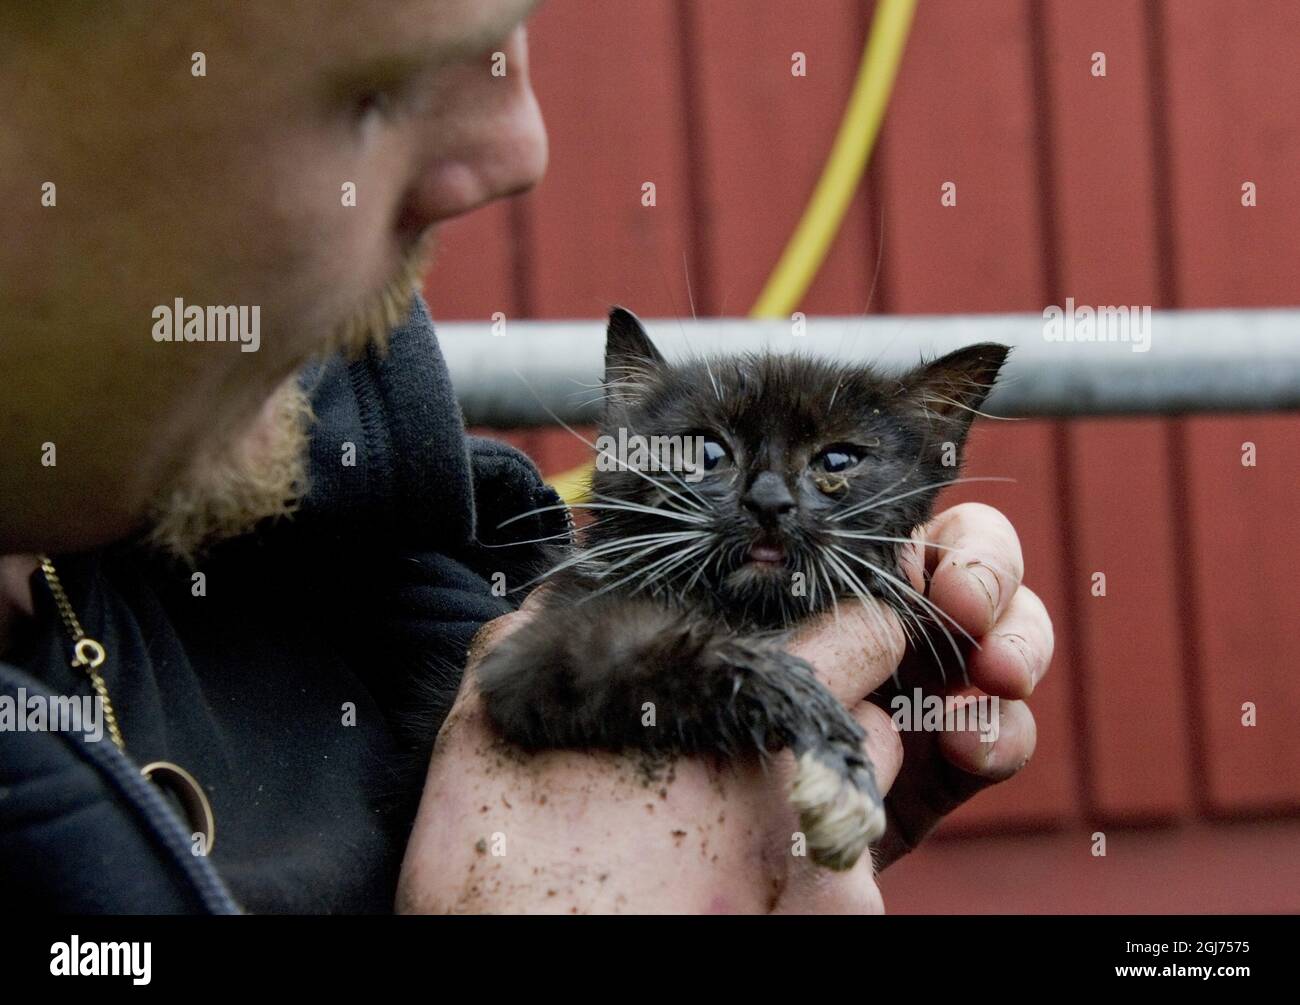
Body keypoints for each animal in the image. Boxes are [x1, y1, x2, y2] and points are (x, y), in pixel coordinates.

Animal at [478, 308, 1003, 868]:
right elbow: (700, 650)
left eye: (837, 462)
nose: (768, 501)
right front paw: (828, 741)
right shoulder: (543, 653)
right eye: (706, 451)